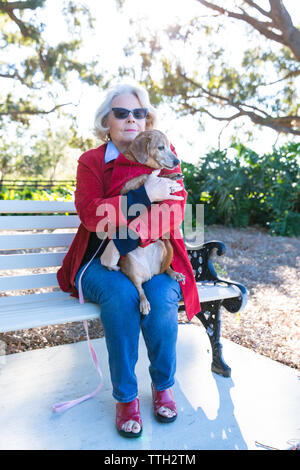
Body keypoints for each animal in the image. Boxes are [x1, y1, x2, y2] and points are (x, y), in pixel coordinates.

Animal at [117, 130, 185, 316]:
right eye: (160, 147)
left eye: (169, 146)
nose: (177, 162)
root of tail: (149, 273)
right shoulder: (126, 187)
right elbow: (146, 176)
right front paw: (164, 178)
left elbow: (159, 174)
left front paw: (172, 176)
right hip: (133, 269)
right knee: (140, 290)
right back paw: (144, 303)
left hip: (164, 249)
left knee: (166, 269)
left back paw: (174, 273)